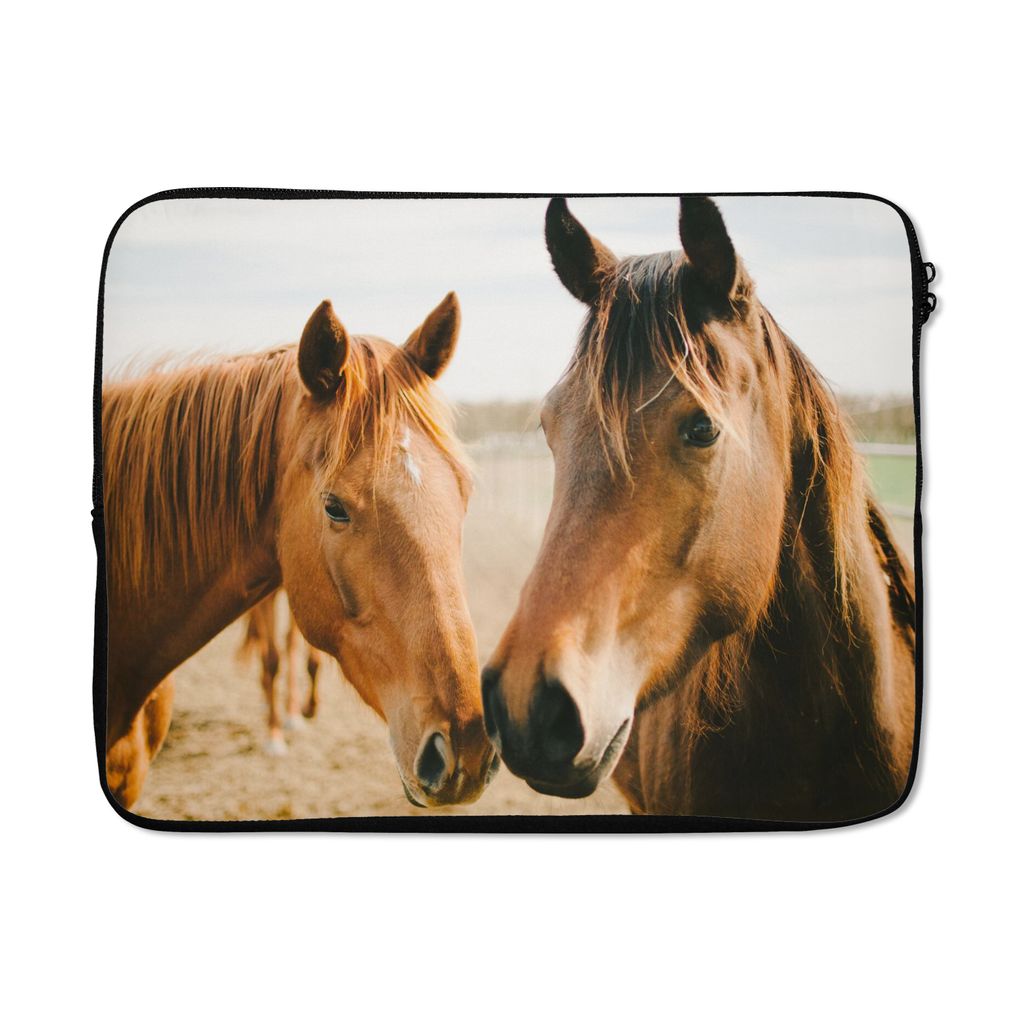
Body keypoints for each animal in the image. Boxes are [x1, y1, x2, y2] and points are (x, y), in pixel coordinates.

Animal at [238, 591, 323, 755]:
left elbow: (314, 661)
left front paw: (310, 708)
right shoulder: (265, 600)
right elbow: (271, 661)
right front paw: (274, 737)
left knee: (290, 643)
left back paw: (293, 712)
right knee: (262, 642)